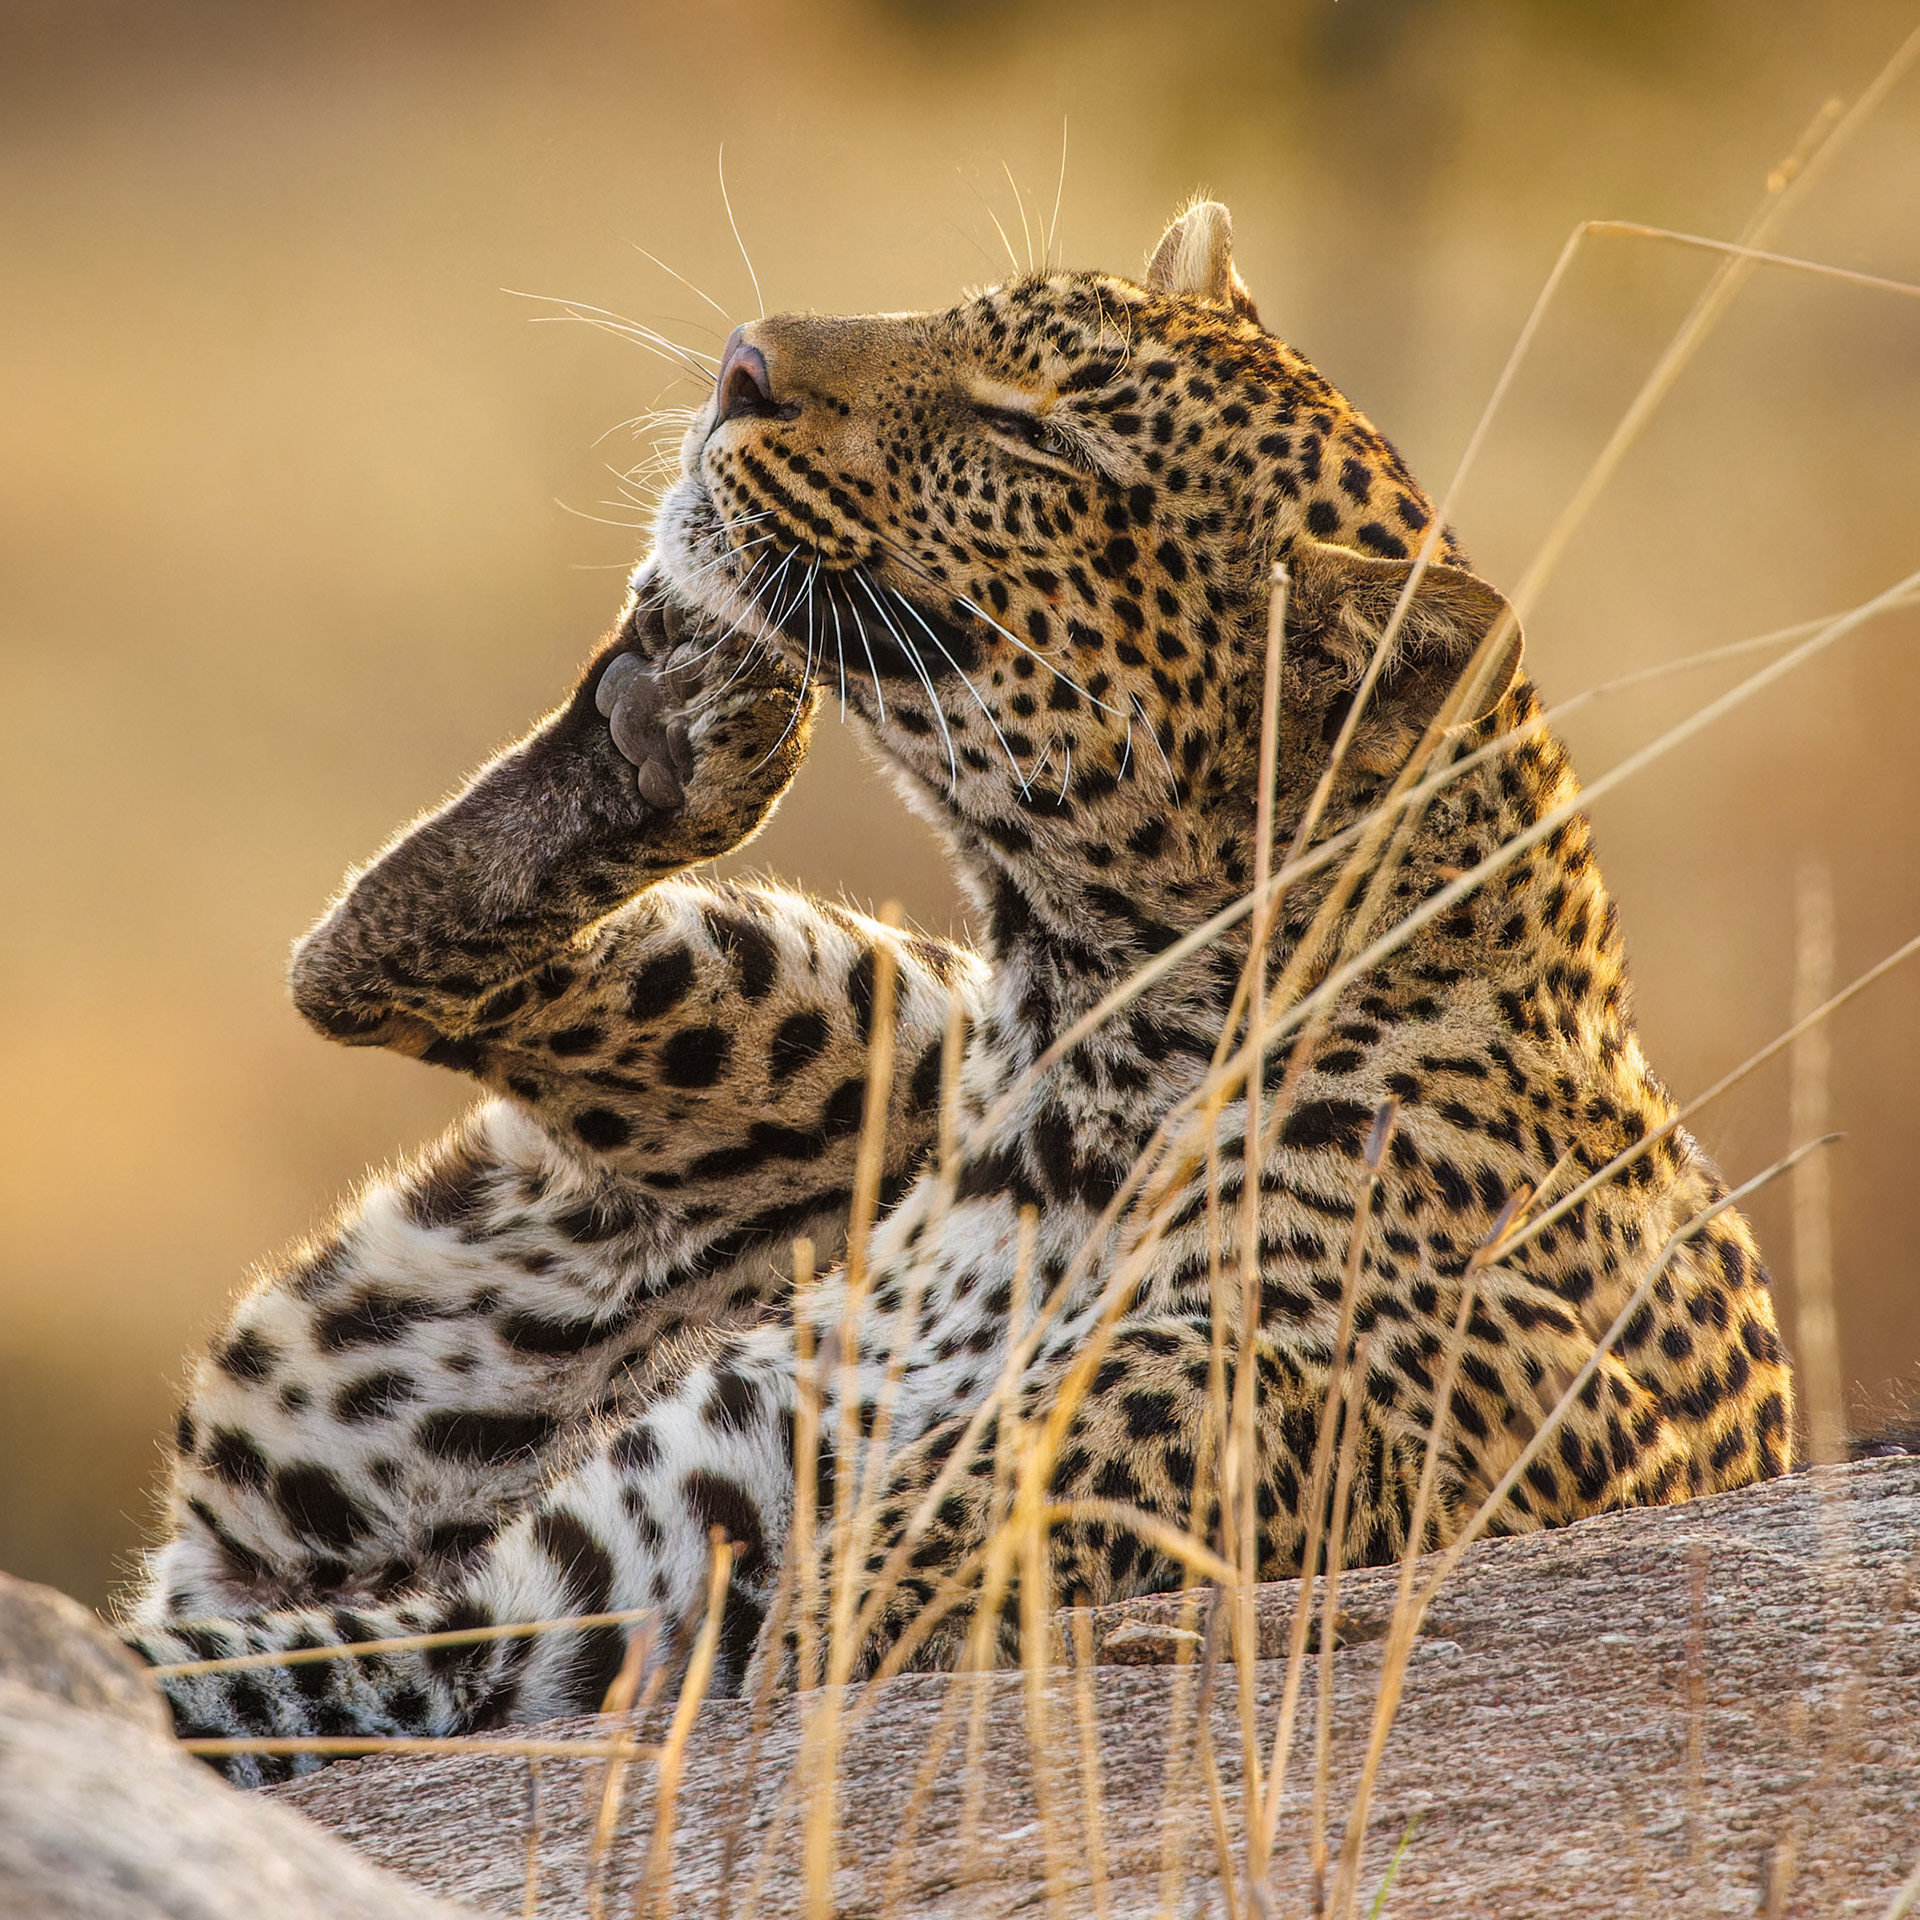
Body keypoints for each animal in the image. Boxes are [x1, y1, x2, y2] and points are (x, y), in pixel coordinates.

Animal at [122, 201, 1793, 1782]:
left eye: (1037, 435)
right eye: (967, 324)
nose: (741, 363)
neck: (1105, 1064)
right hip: (846, 1010)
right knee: (361, 980)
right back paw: (661, 735)